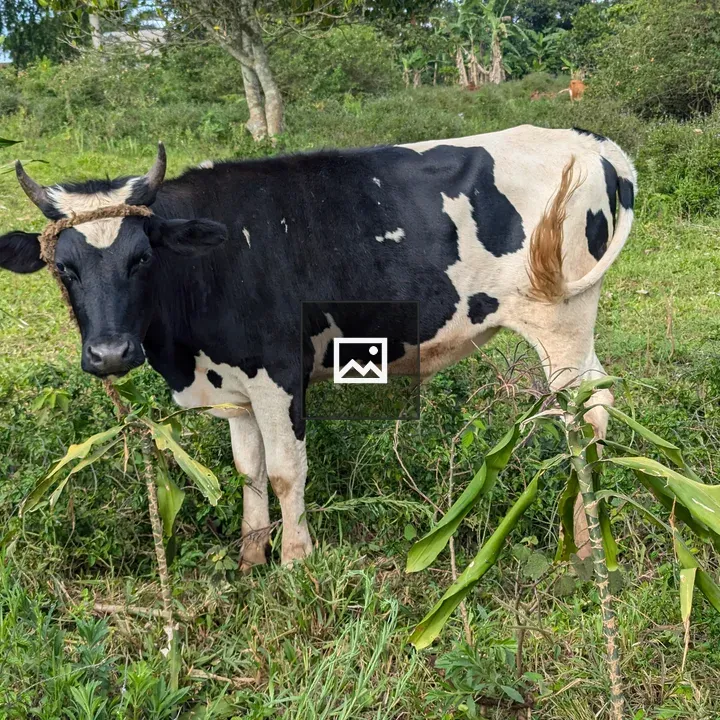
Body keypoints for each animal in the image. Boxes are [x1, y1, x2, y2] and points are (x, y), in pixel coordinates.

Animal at [0, 125, 636, 569]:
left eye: (141, 257)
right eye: (64, 268)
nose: (110, 353)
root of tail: (588, 142)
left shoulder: (279, 373)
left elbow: (286, 472)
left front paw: (295, 560)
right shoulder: (234, 384)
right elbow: (248, 472)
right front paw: (250, 557)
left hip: (562, 321)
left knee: (587, 413)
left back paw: (585, 544)